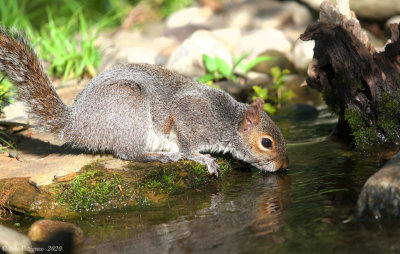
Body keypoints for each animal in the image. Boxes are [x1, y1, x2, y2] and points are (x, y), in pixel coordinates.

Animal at [0, 27, 288, 175]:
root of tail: (77, 124)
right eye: (266, 143)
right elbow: (187, 145)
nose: (284, 166)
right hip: (129, 106)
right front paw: (202, 159)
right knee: (128, 154)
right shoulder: (191, 114)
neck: (226, 118)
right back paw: (160, 156)